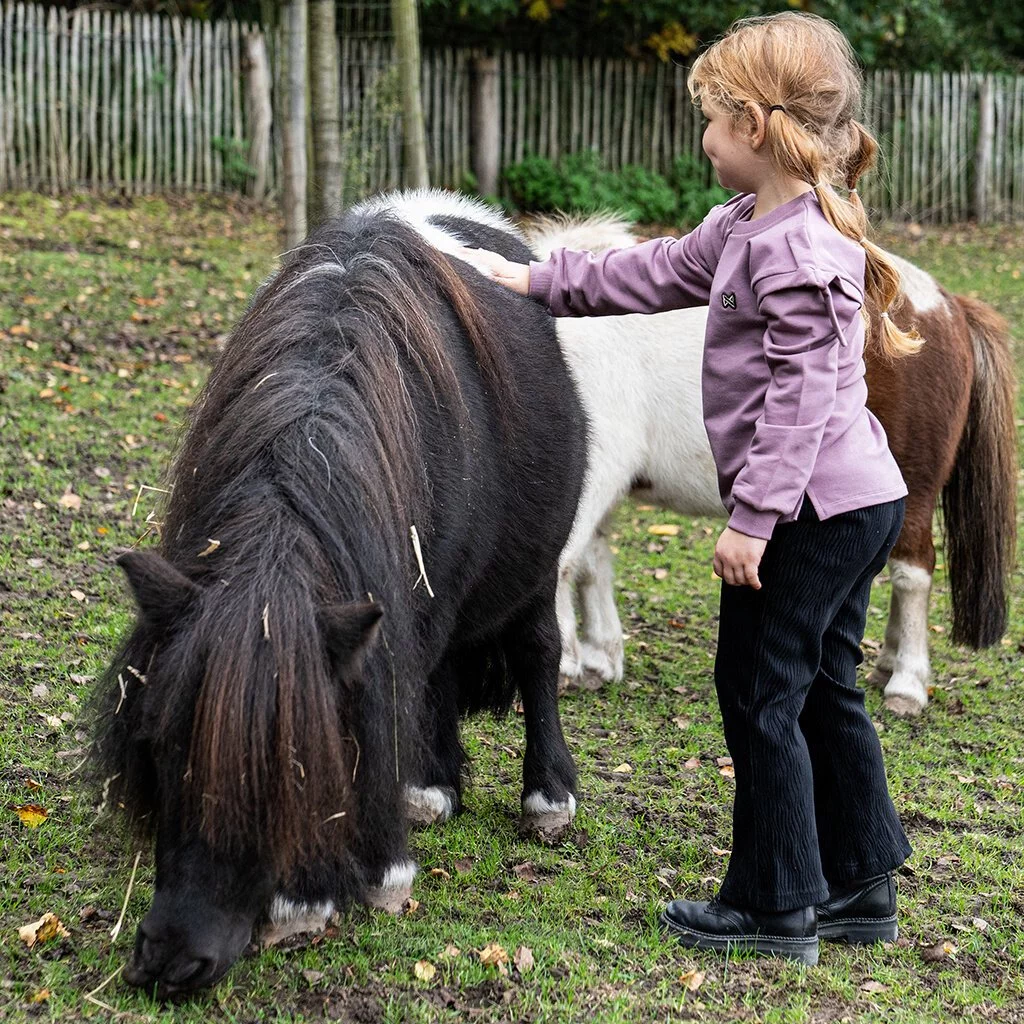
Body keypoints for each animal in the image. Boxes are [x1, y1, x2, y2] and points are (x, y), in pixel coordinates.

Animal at [94, 190, 593, 991]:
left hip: (536, 568)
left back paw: (545, 798)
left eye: (294, 768)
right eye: (163, 746)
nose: (172, 961)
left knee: (536, 652)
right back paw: (431, 792)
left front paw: (329, 889)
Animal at [532, 211, 1019, 716]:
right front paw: (598, 661)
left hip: (915, 487)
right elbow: (590, 564)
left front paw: (566, 665)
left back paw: (905, 684)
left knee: (913, 573)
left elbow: (563, 565)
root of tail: (946, 307)